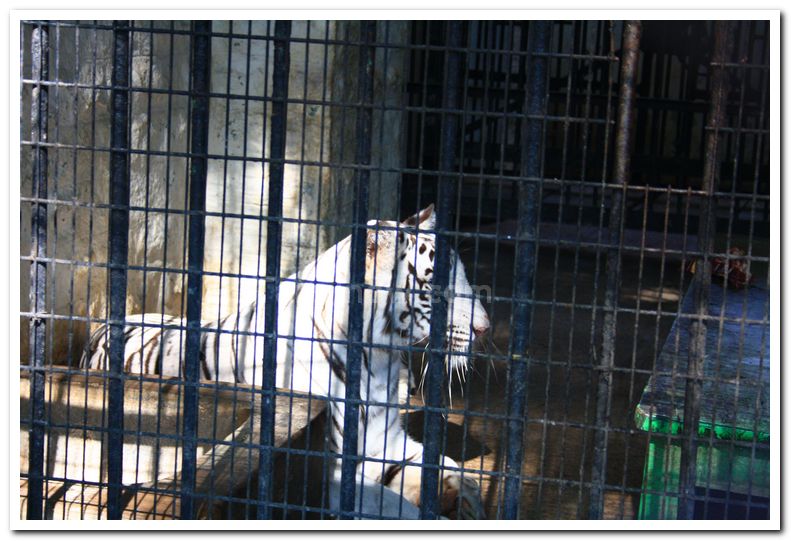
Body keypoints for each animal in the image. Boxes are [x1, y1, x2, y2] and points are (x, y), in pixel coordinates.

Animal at [80, 204, 488, 520]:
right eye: (434, 287)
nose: (484, 328)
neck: (379, 359)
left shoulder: (385, 441)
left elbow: (447, 466)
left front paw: (464, 498)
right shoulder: (334, 471)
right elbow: (394, 506)